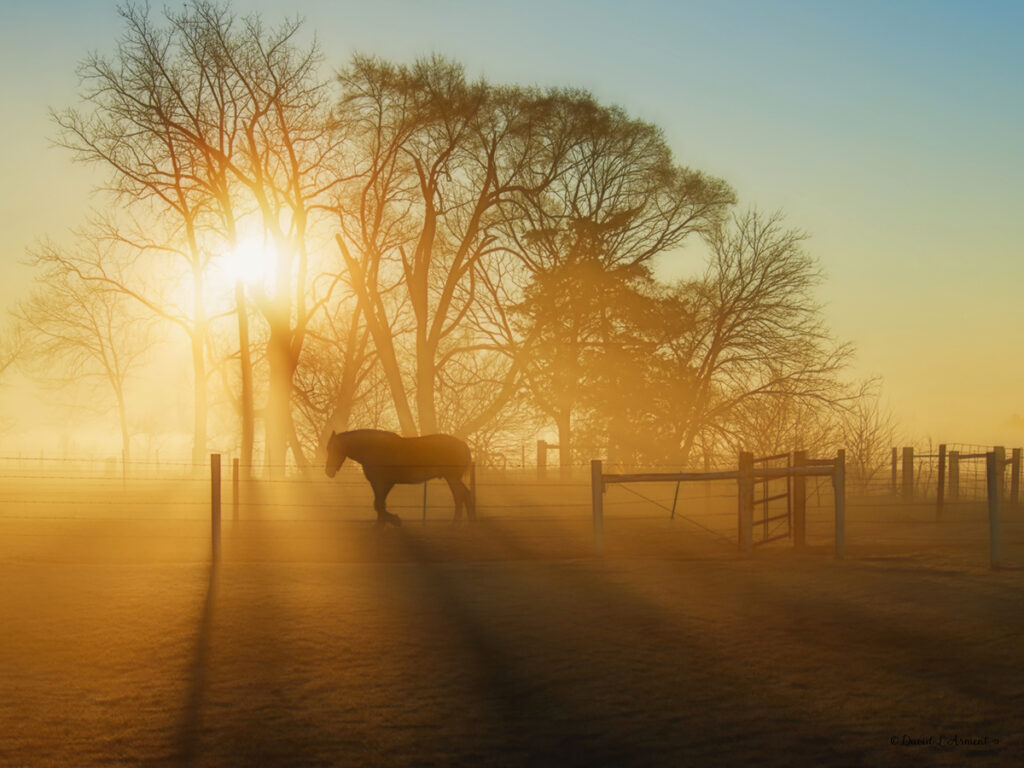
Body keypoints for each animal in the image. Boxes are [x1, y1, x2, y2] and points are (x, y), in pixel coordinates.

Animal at [324, 429, 476, 527]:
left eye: (333, 449)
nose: (328, 472)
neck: (373, 449)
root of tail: (462, 444)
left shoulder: (386, 482)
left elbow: (379, 504)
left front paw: (393, 520)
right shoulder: (376, 483)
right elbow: (378, 504)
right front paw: (381, 523)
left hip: (452, 478)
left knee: (459, 496)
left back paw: (455, 523)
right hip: (453, 479)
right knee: (465, 495)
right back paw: (469, 521)